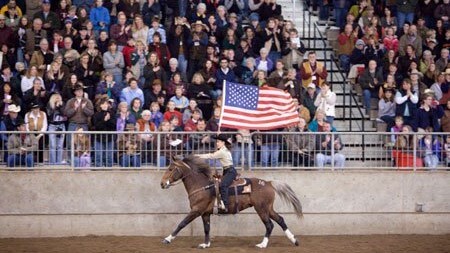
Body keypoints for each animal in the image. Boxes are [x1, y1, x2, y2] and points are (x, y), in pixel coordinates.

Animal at [160, 155, 304, 248]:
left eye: (171, 169)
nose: (162, 184)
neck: (201, 185)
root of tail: (268, 183)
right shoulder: (205, 213)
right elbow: (207, 228)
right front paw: (206, 244)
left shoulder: (196, 210)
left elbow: (182, 223)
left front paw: (167, 239)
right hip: (268, 208)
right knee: (280, 220)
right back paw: (294, 240)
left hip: (261, 209)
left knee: (269, 225)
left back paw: (262, 244)